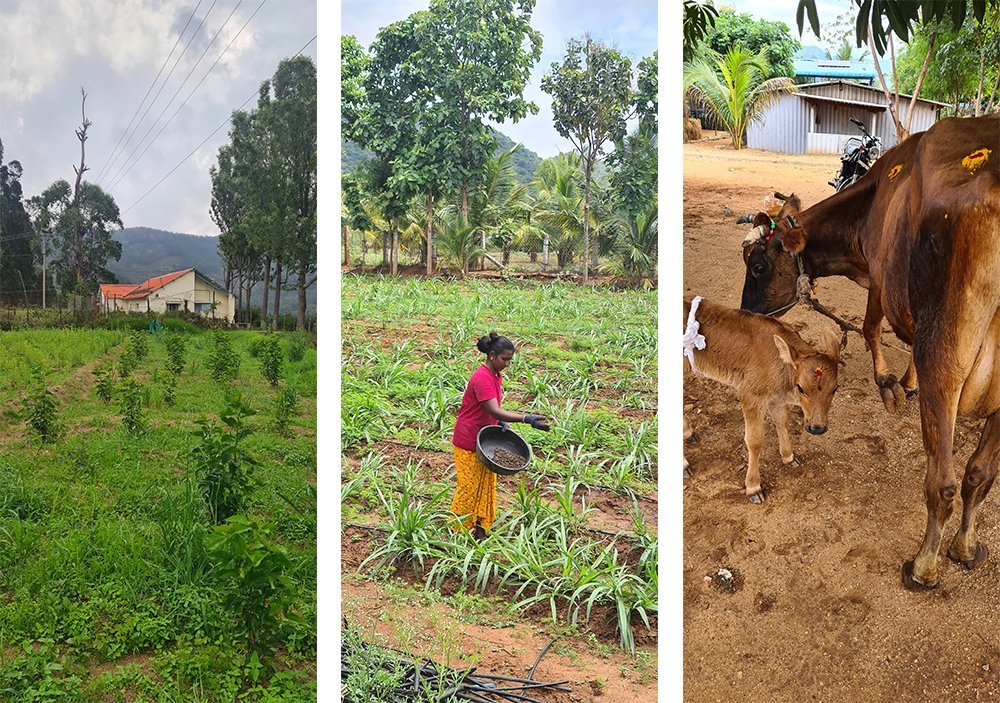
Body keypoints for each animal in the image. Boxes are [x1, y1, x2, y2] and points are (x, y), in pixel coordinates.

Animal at [684, 294, 840, 504]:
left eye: (835, 388)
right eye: (800, 387)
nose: (817, 428)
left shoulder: (775, 398)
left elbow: (782, 422)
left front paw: (789, 457)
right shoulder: (750, 394)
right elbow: (755, 440)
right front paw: (753, 487)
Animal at [740, 114, 1000, 588]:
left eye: (759, 265)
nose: (745, 312)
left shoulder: (880, 279)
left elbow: (869, 328)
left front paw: (887, 382)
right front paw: (905, 381)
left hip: (944, 357)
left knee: (944, 484)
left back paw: (924, 566)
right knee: (979, 473)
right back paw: (965, 547)